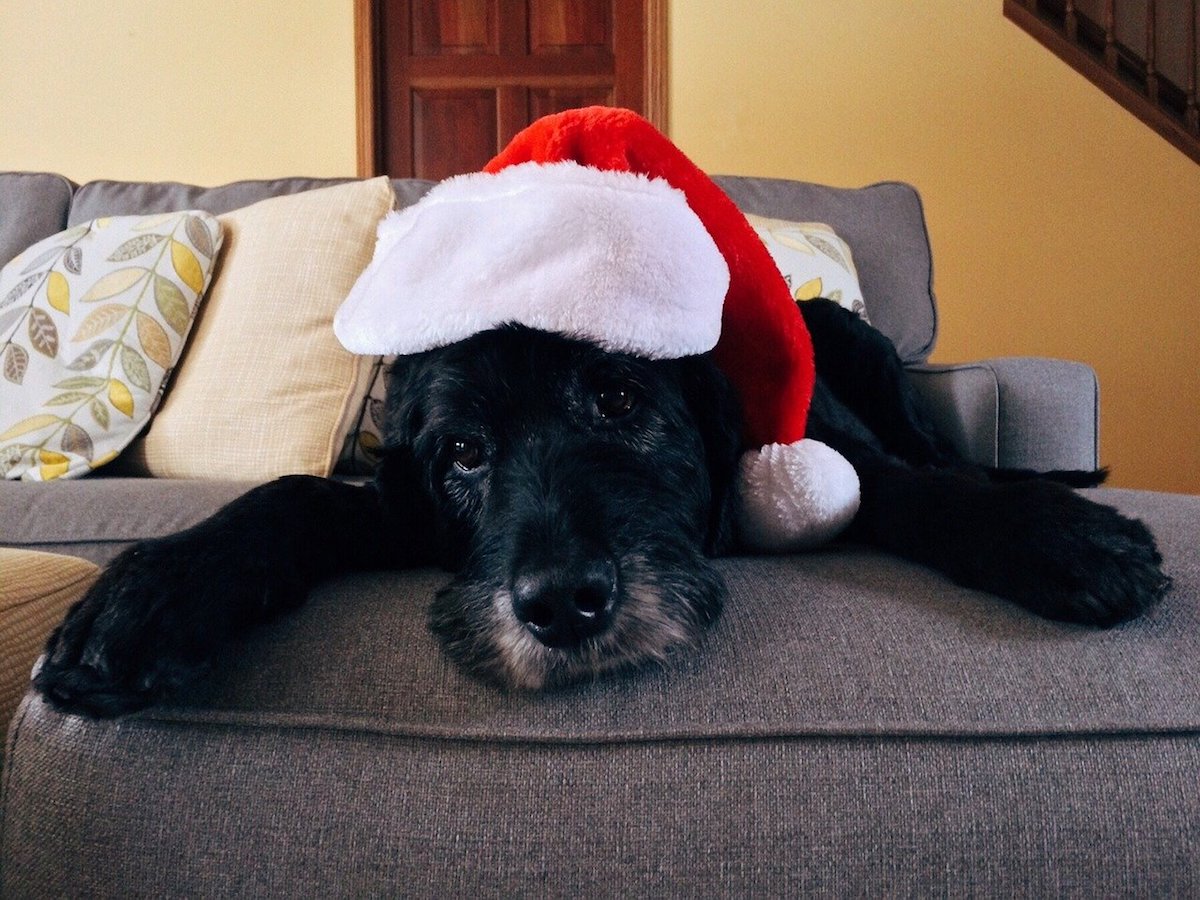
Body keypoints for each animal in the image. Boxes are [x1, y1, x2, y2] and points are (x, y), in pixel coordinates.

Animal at [32, 303, 1166, 720]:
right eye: (464, 452)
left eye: (618, 398)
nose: (562, 604)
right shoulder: (397, 505)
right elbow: (297, 499)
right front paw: (148, 598)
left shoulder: (842, 462)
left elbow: (921, 491)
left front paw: (1062, 538)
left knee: (938, 453)